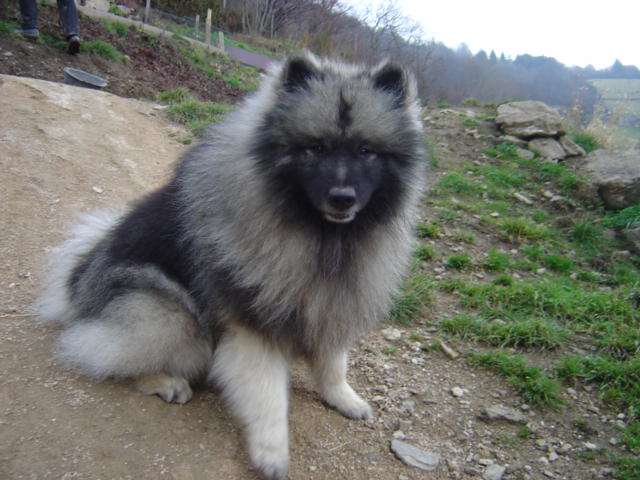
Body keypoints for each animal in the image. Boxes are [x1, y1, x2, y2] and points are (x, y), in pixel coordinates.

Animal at [36, 52, 426, 479]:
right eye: (316, 147)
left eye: (366, 151)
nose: (342, 197)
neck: (322, 235)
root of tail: (77, 282)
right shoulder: (253, 324)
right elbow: (269, 395)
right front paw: (272, 453)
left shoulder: (329, 302)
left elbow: (333, 362)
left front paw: (342, 397)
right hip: (167, 313)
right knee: (103, 352)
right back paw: (165, 381)